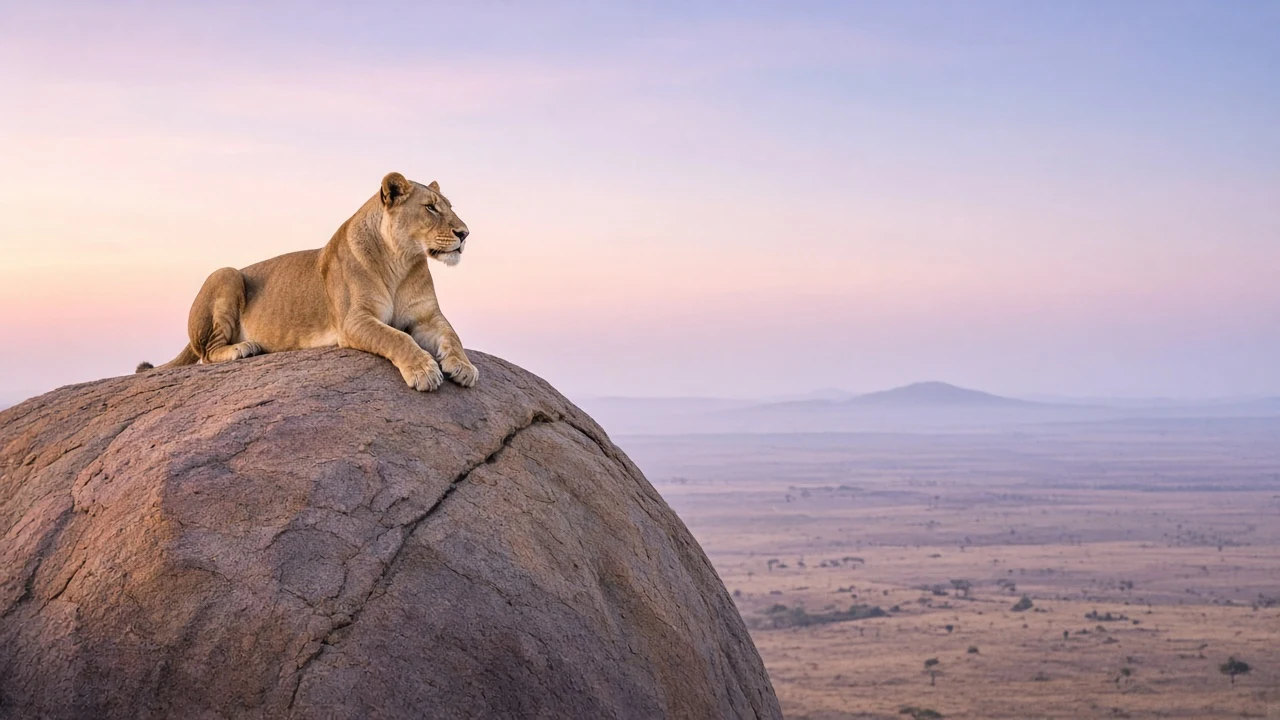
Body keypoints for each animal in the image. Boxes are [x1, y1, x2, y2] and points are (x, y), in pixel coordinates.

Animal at [136, 172, 479, 391]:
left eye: (449, 206)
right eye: (430, 207)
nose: (465, 233)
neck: (401, 261)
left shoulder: (427, 316)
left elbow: (452, 335)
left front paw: (464, 367)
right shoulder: (354, 320)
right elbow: (396, 338)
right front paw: (423, 370)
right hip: (227, 273)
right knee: (207, 355)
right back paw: (243, 348)